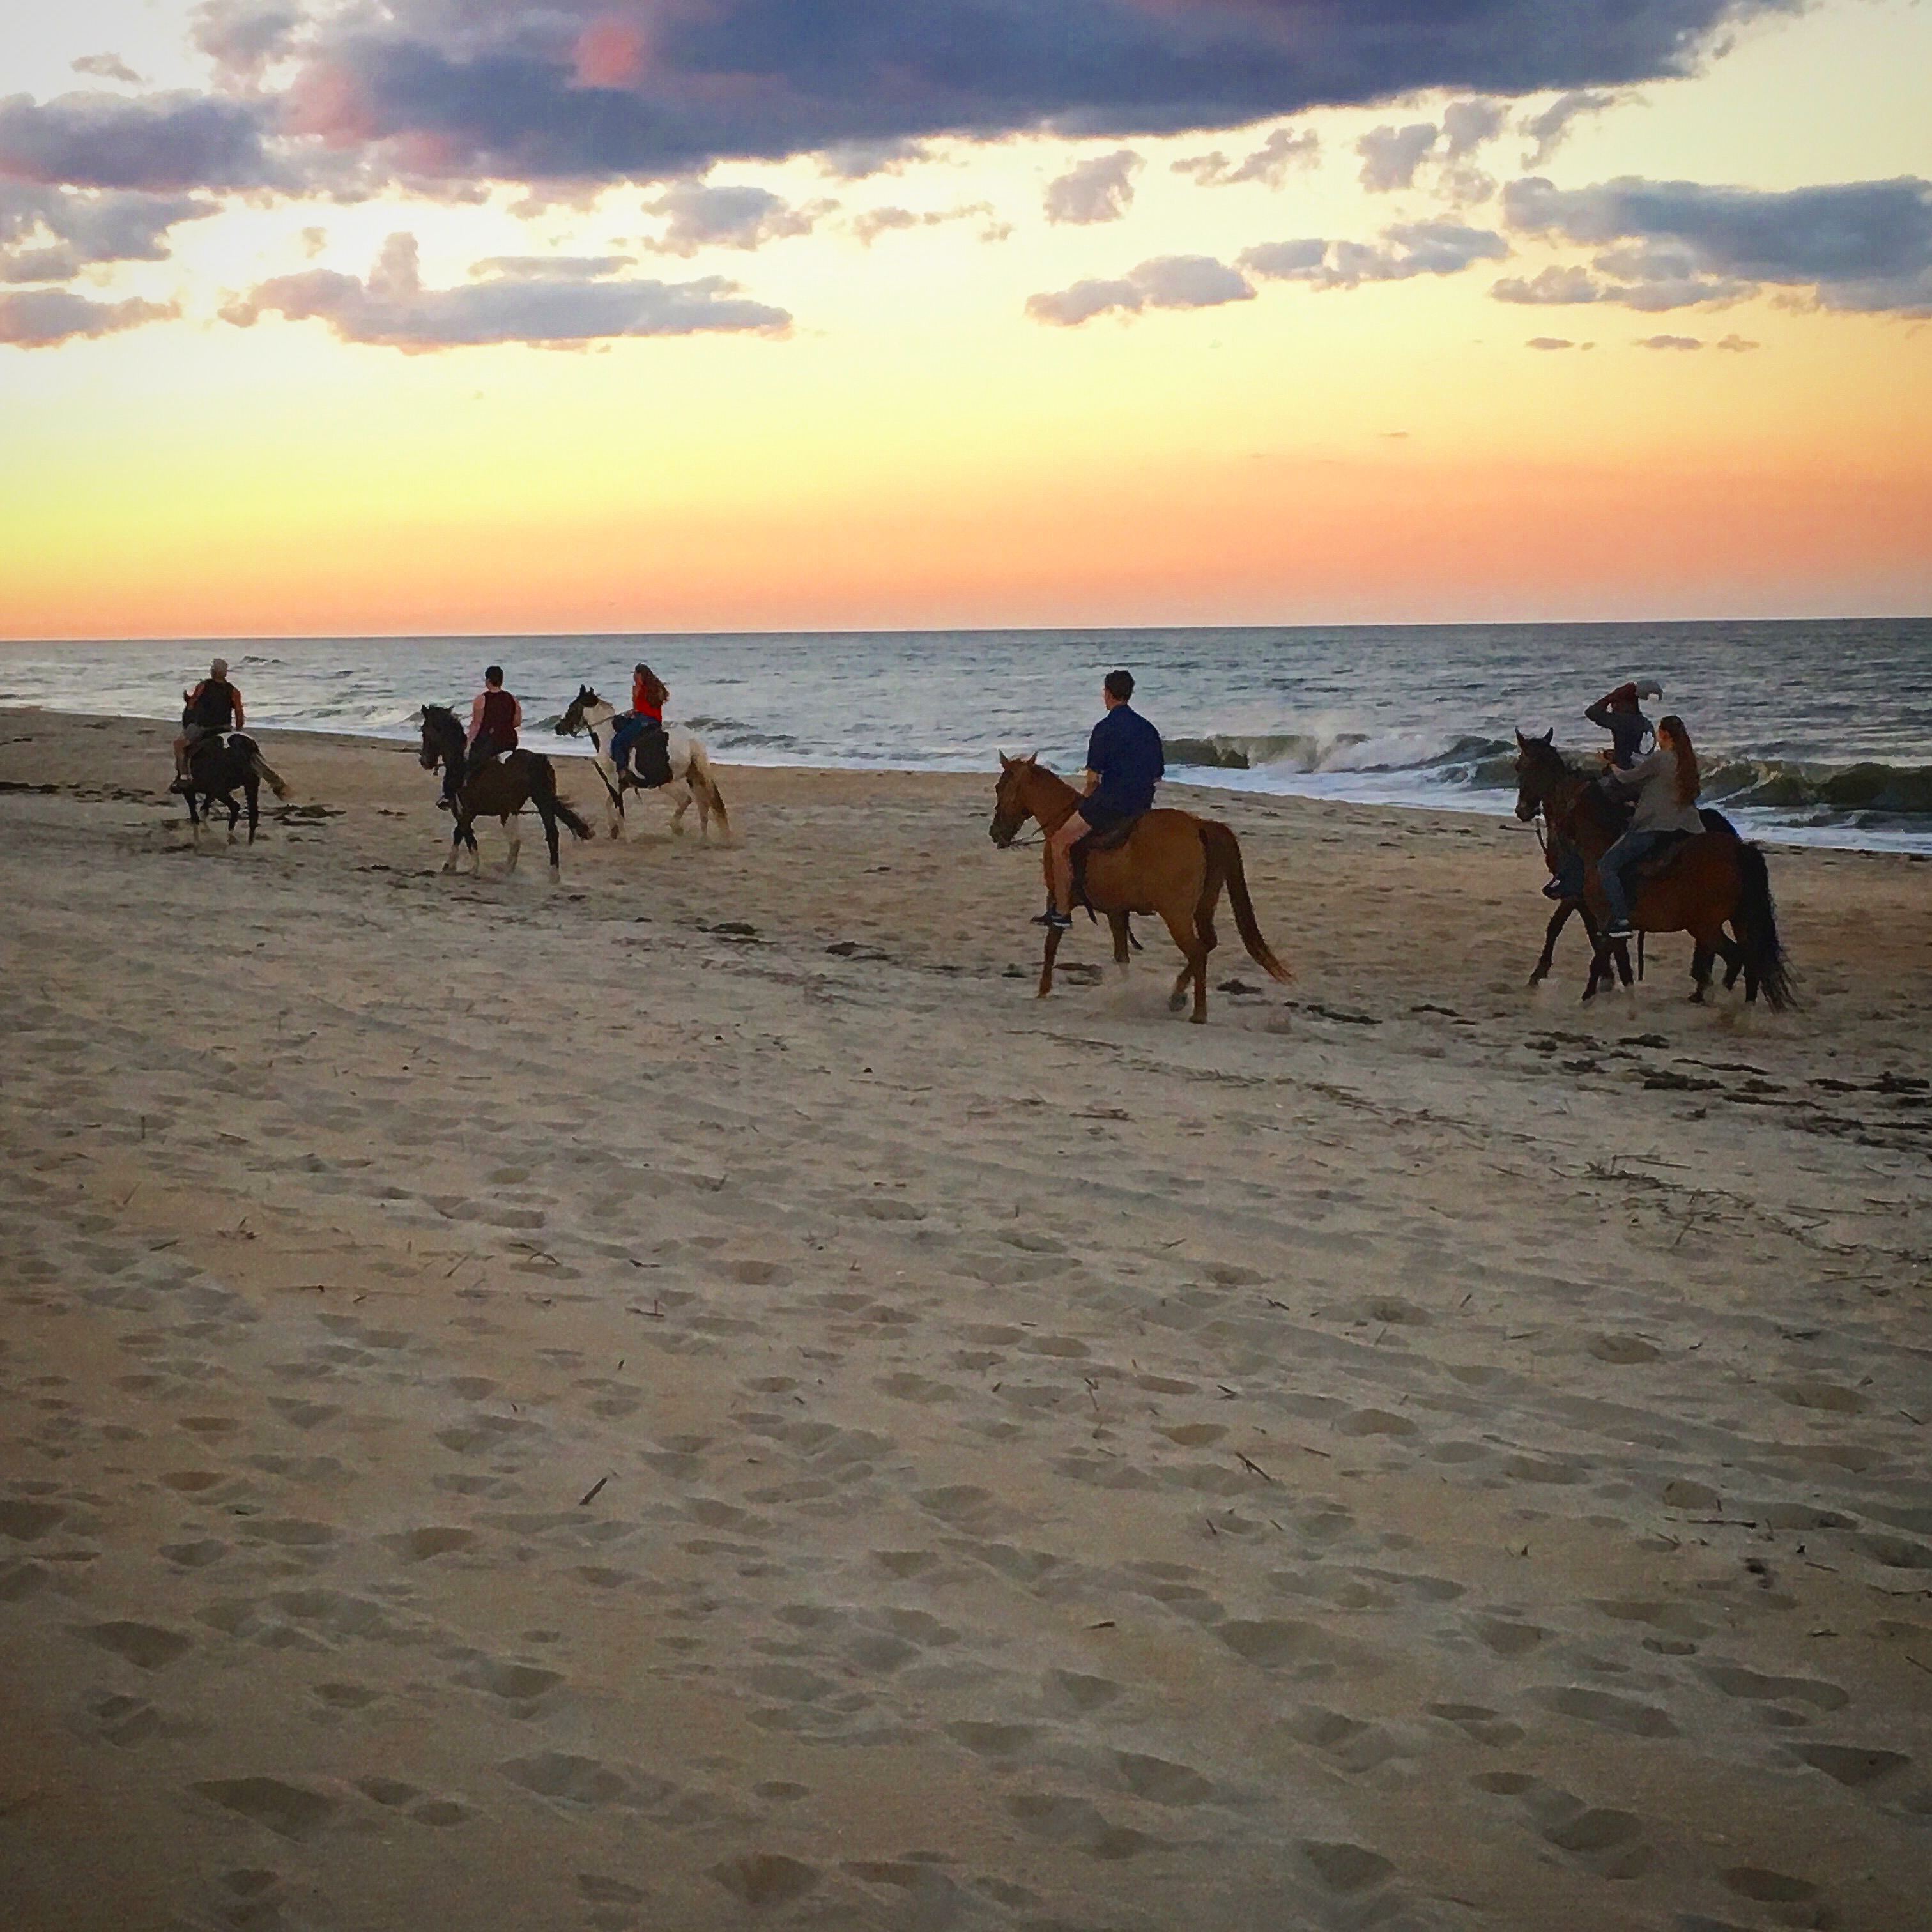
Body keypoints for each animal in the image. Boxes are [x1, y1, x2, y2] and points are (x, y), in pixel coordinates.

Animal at [178, 726, 288, 842]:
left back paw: (229, 836)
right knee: (253, 814)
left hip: (220, 790)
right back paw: (246, 841)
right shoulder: (213, 791)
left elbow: (195, 810)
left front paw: (197, 838)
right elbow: (204, 806)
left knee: (235, 807)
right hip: (250, 786)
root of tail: (247, 745)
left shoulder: (195, 790)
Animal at [423, 703, 595, 884]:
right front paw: (451, 866)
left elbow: (467, 835)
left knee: (520, 840)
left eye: (424, 731)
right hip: (540, 802)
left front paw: (471, 867)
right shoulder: (471, 811)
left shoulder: (463, 810)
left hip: (520, 806)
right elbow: (460, 833)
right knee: (550, 835)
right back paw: (550, 875)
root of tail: (538, 760)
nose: (424, 761)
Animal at [556, 695, 726, 846]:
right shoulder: (623, 784)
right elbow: (609, 803)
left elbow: (618, 806)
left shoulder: (612, 780)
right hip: (692, 776)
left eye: (572, 708)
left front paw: (625, 837)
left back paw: (678, 828)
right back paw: (701, 837)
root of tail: (691, 741)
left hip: (665, 781)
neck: (608, 736)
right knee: (702, 804)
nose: (558, 728)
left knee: (688, 800)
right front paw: (614, 830)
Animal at [989, 753, 1291, 1027]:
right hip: (1204, 906)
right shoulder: (1117, 911)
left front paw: (1043, 989)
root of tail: (1199, 825)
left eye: (1000, 788)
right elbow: (1122, 955)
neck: (1061, 818)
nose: (995, 833)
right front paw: (1127, 992)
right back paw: (1177, 996)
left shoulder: (1059, 899)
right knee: (1208, 943)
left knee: (1197, 951)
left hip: (1176, 914)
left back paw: (1198, 1012)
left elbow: (1052, 941)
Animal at [1506, 726, 1793, 1012]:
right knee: (1746, 955)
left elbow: (1578, 935)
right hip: (1732, 918)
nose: (1522, 810)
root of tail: (1737, 847)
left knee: (1735, 954)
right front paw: (1618, 981)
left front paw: (1584, 981)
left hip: (1707, 923)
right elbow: (1598, 939)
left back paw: (1711, 991)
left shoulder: (1582, 899)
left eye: (1521, 766)